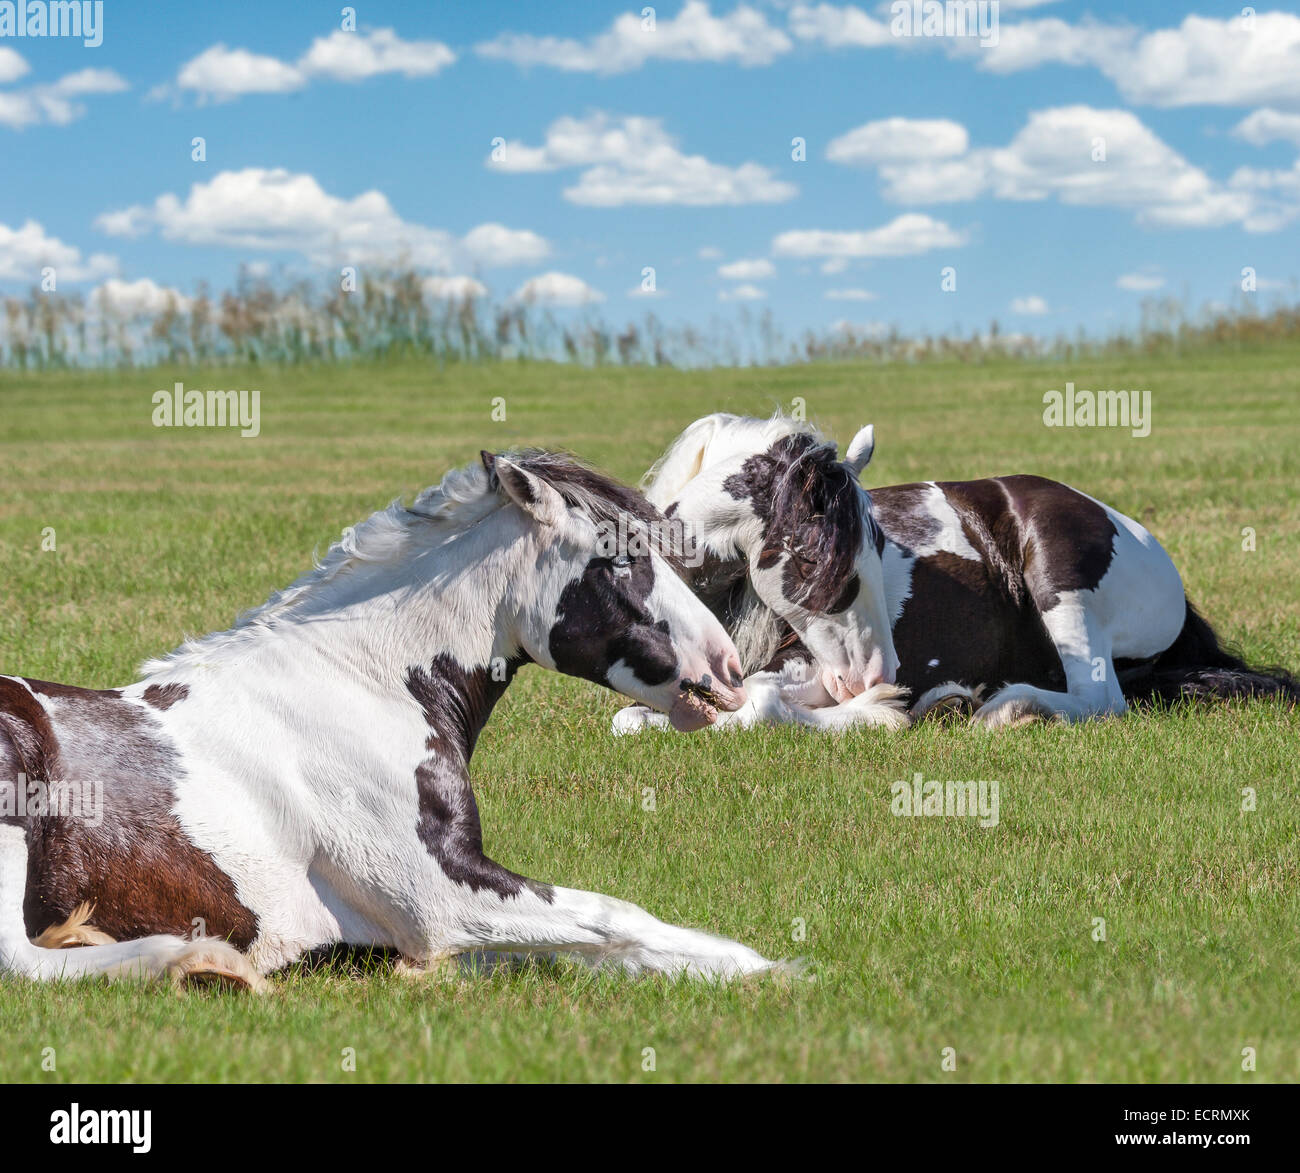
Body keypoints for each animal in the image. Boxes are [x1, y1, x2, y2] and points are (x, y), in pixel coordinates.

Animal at [1, 449, 780, 988]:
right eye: (618, 558)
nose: (728, 672)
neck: (360, 685)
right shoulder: (441, 897)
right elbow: (621, 916)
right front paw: (768, 969)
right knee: (24, 962)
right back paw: (201, 959)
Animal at [613, 413, 1298, 733]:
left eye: (879, 548)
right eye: (811, 556)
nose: (874, 675)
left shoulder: (806, 667)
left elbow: (761, 706)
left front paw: (884, 711)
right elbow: (636, 719)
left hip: (1060, 578)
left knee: (1100, 699)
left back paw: (1000, 707)